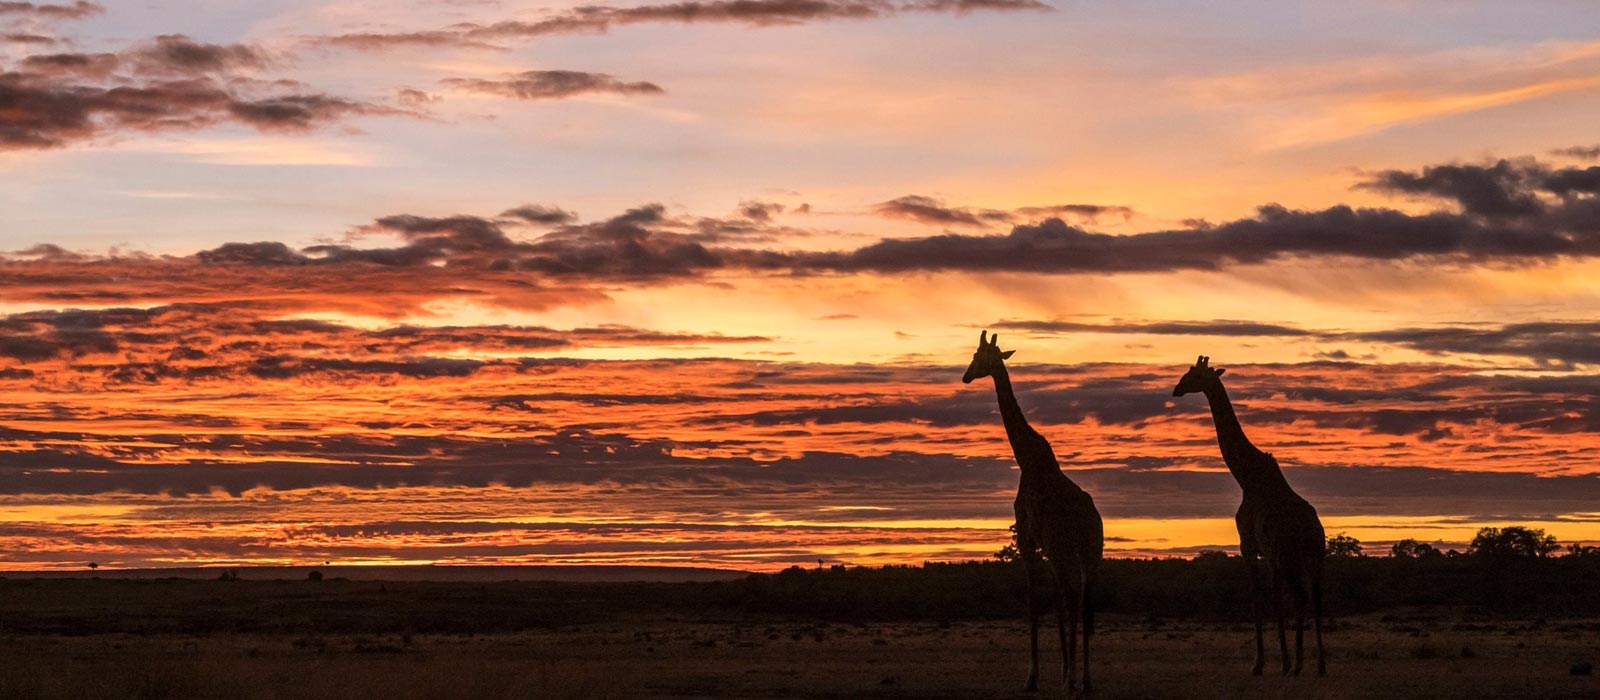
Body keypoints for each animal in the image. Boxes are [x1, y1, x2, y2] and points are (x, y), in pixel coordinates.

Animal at [960, 330, 1100, 690]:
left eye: (977, 356)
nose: (966, 376)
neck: (1026, 458)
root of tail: (1088, 518)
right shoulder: (1045, 544)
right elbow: (1055, 600)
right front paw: (1061, 669)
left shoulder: (1027, 536)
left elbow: (1033, 599)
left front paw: (1033, 676)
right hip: (1091, 549)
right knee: (1083, 598)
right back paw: (1085, 679)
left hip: (1063, 546)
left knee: (1073, 594)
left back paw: (1072, 680)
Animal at [1171, 357, 1331, 674]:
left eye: (1193, 375)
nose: (1176, 389)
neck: (1245, 476)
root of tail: (1312, 531)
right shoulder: (1270, 555)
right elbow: (1275, 600)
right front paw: (1282, 661)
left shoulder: (1248, 544)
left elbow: (1257, 599)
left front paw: (1260, 664)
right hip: (1314, 557)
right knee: (1316, 598)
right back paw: (1318, 665)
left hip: (1292, 557)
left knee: (1301, 596)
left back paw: (1299, 666)